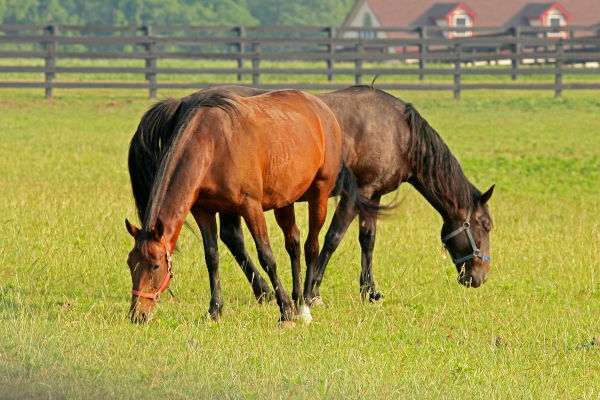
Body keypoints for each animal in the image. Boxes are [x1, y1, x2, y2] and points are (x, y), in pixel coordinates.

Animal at [124, 90, 358, 324]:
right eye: (130, 263)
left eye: (155, 265)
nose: (138, 315)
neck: (213, 145)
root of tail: (322, 108)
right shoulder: (204, 212)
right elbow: (212, 257)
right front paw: (214, 310)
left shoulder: (251, 208)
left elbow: (267, 257)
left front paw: (285, 310)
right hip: (284, 202)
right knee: (294, 243)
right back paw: (298, 296)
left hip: (319, 194)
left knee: (312, 246)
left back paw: (305, 304)